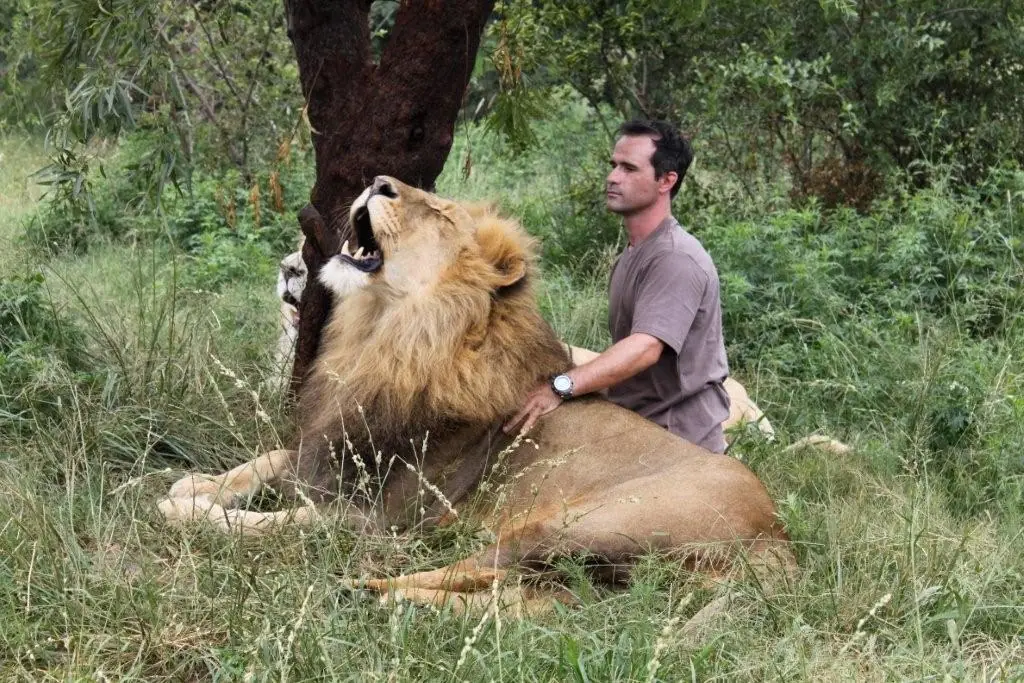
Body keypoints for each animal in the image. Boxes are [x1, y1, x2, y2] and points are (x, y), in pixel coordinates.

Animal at [160, 177, 795, 615]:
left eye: (440, 214)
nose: (378, 180)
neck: (384, 337)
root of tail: (778, 539)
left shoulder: (378, 516)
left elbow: (282, 522)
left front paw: (188, 510)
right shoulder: (334, 448)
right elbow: (269, 459)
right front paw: (197, 484)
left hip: (569, 526)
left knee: (480, 575)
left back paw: (366, 588)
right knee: (527, 603)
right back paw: (395, 602)